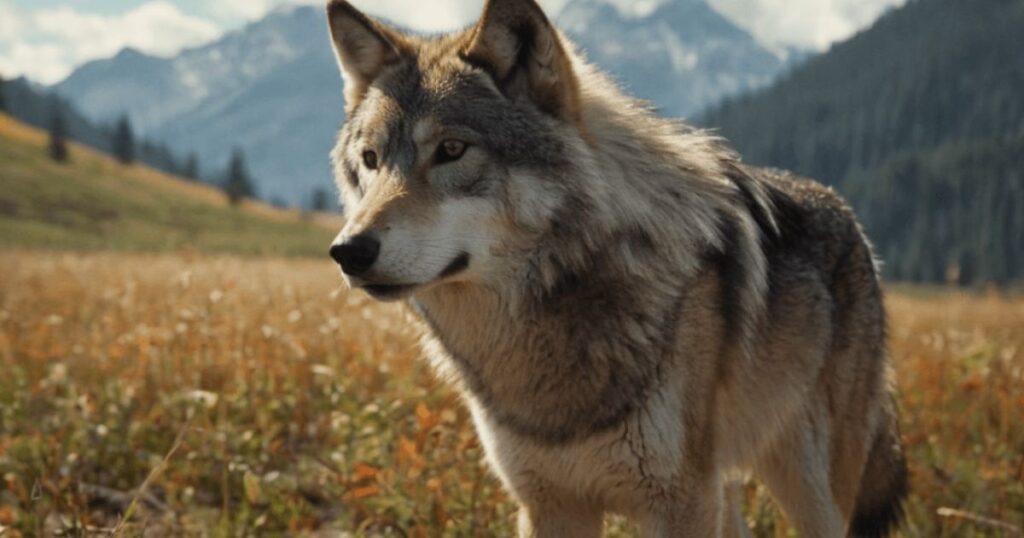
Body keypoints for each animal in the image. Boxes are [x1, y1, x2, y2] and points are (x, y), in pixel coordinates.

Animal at [323, 0, 907, 536]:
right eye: (371, 161)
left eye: (450, 149)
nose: (348, 251)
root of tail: (842, 208)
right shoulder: (551, 502)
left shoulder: (677, 503)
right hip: (727, 487)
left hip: (809, 486)